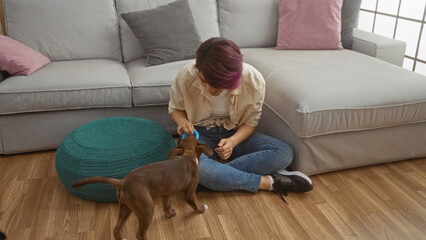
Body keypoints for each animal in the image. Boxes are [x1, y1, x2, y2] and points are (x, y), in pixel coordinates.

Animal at [73, 135, 215, 240]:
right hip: (146, 209)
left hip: (125, 208)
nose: (190, 130)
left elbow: (167, 205)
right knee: (140, 234)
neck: (188, 155)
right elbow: (195, 205)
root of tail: (122, 182)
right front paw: (201, 209)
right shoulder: (190, 193)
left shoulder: (167, 193)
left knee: (117, 229)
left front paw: (170, 214)